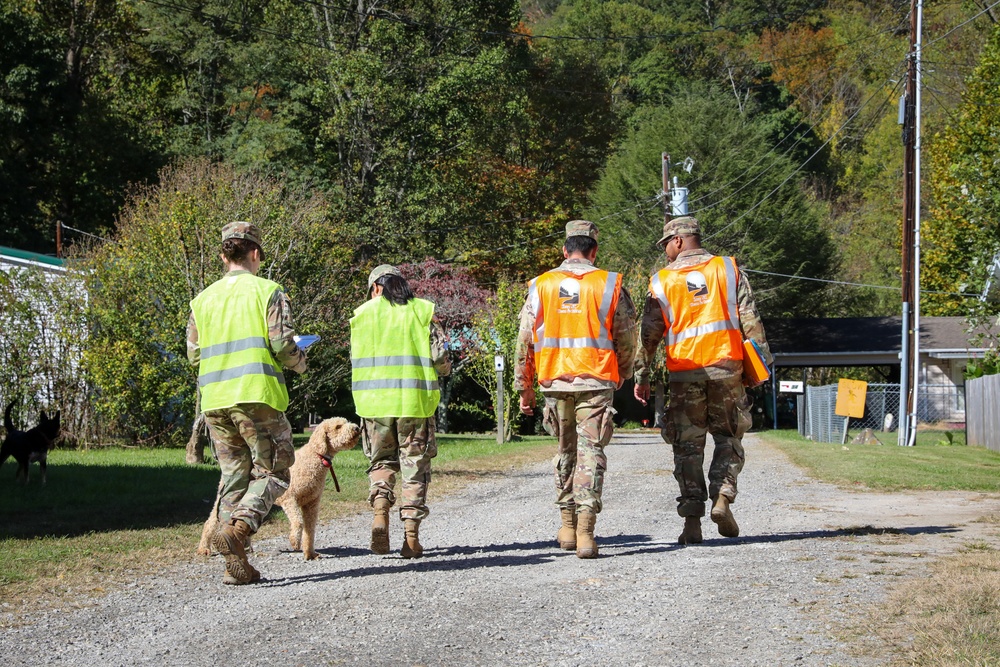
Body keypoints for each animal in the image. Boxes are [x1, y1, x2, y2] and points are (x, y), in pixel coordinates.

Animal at [197, 418, 362, 560]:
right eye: (338, 426)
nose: (357, 428)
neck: (314, 458)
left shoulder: (311, 503)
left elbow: (310, 530)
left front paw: (310, 553)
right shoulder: (290, 499)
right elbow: (298, 522)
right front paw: (294, 541)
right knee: (210, 522)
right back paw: (204, 548)